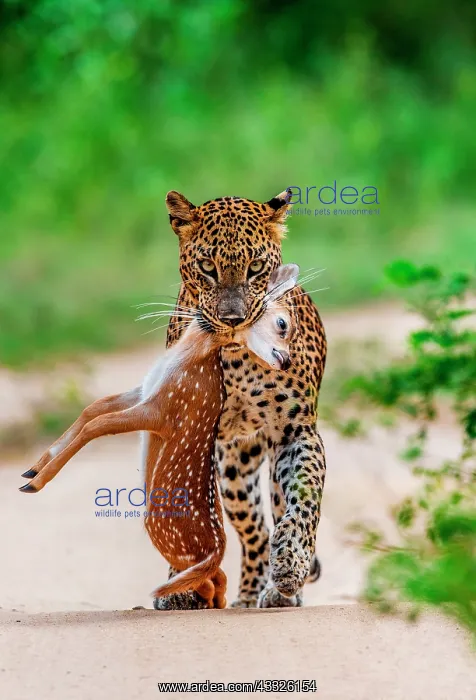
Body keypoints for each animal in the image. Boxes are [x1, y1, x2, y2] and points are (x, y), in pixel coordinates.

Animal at [155, 188, 327, 610]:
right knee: (255, 531)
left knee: (275, 515)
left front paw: (292, 564)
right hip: (233, 468)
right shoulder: (189, 438)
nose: (233, 320)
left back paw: (277, 590)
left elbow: (304, 498)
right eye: (206, 266)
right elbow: (184, 512)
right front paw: (182, 585)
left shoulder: (297, 432)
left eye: (256, 267)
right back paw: (248, 593)